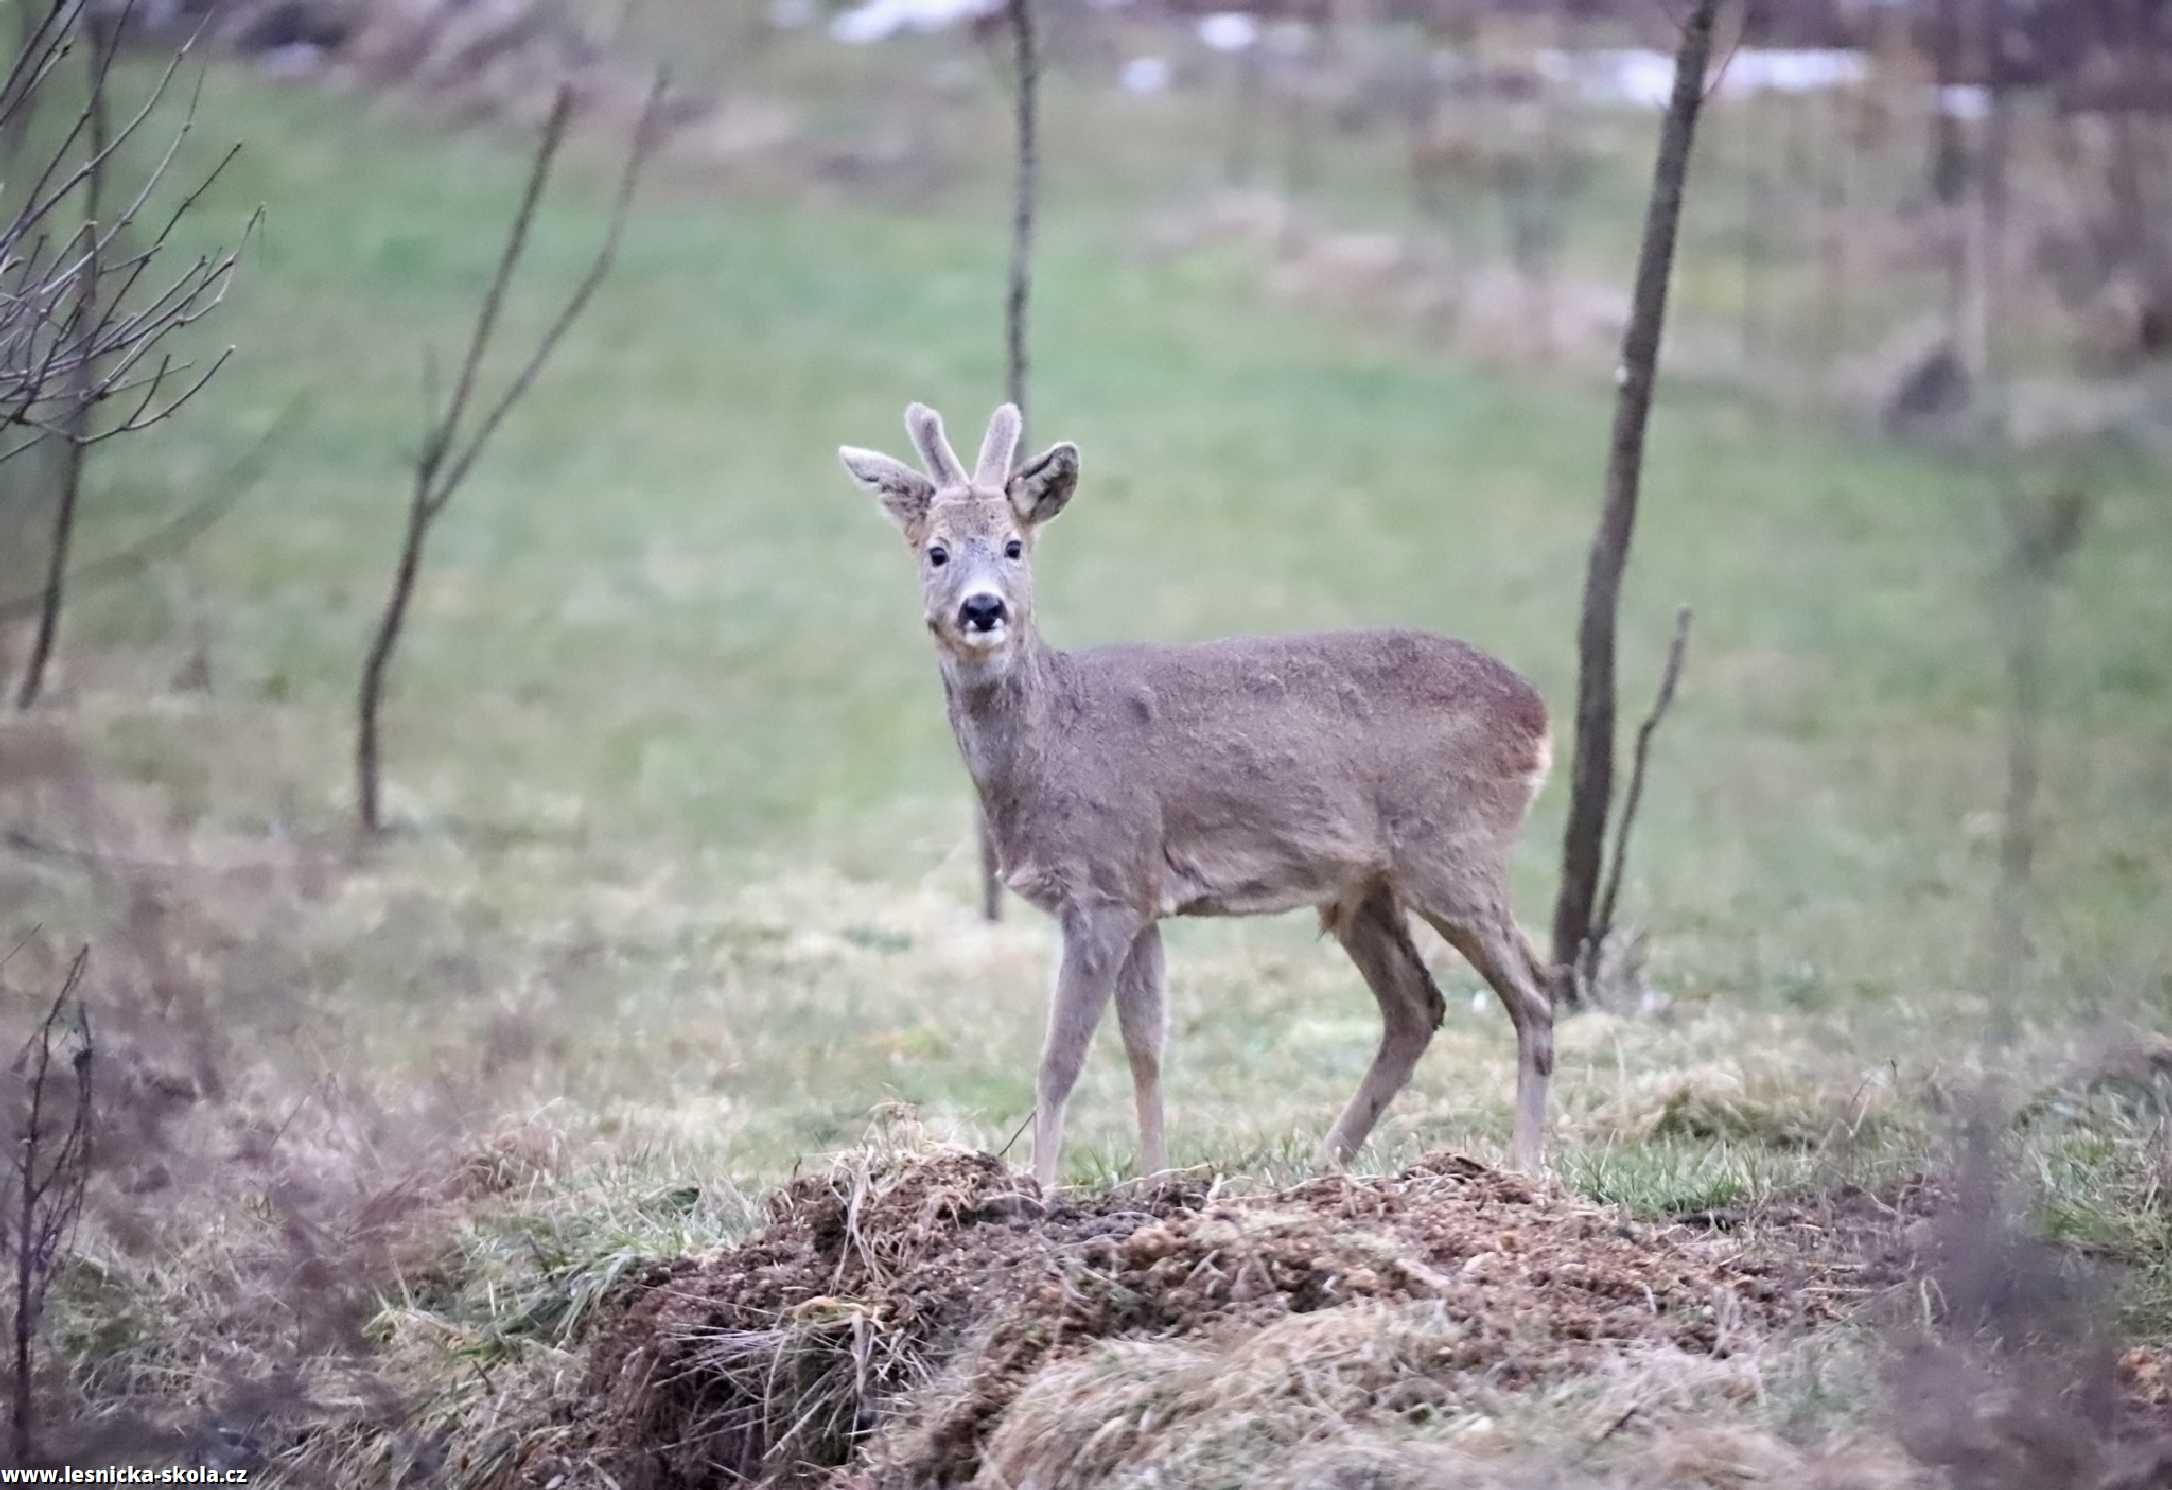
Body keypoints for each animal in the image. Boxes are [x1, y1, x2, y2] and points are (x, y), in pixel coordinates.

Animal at [834, 401, 1563, 1181]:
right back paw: (1323, 1164)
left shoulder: (1104, 885)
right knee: (1417, 1006)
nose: (981, 609)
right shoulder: (1142, 894)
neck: (1054, 740)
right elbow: (1146, 1047)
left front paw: (1039, 1187)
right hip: (1363, 887)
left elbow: (1060, 1061)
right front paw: (1155, 1179)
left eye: (1013, 546)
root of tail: (1539, 714)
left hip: (1455, 849)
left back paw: (1522, 1169)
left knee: (1534, 990)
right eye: (936, 552)